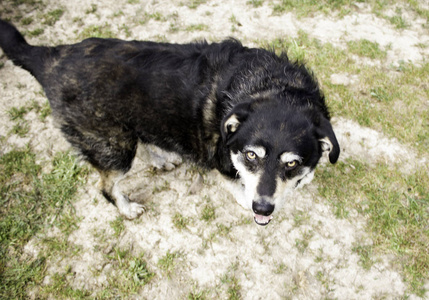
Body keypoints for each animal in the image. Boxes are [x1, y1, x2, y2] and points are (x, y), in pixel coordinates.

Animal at [0, 19, 338, 225]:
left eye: (292, 163)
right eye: (251, 155)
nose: (263, 209)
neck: (272, 86)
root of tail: (50, 59)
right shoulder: (223, 159)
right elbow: (235, 183)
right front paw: (246, 199)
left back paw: (160, 159)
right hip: (113, 146)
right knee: (107, 186)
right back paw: (126, 207)